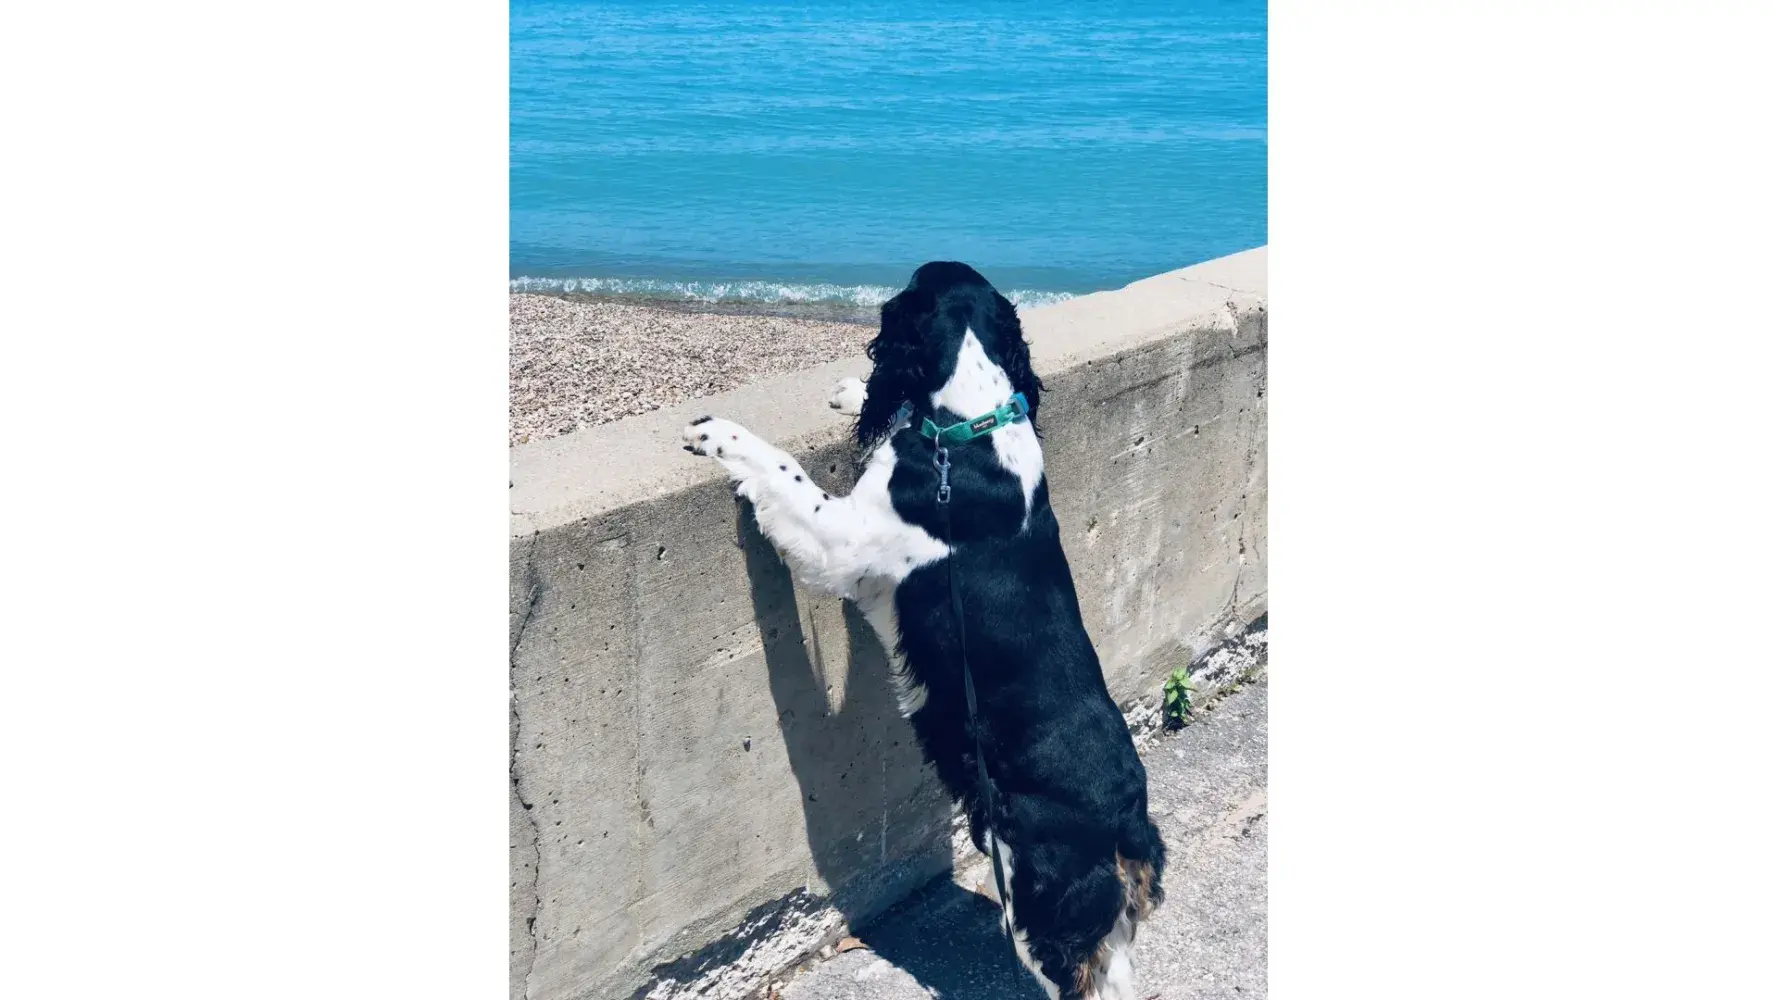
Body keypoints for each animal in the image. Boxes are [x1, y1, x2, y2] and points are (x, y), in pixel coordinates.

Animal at [680, 262, 1165, 1000]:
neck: (970, 428)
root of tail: (1127, 818)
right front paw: (852, 391)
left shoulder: (840, 540)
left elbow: (784, 473)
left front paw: (719, 432)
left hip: (1041, 902)